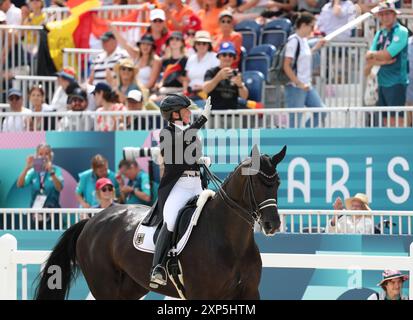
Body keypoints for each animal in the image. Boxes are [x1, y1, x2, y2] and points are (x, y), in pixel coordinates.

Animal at [35, 145, 286, 300]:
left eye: (277, 183)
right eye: (256, 183)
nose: (272, 224)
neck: (230, 240)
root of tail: (92, 221)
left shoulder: (250, 293)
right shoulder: (202, 294)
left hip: (130, 287)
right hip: (104, 287)